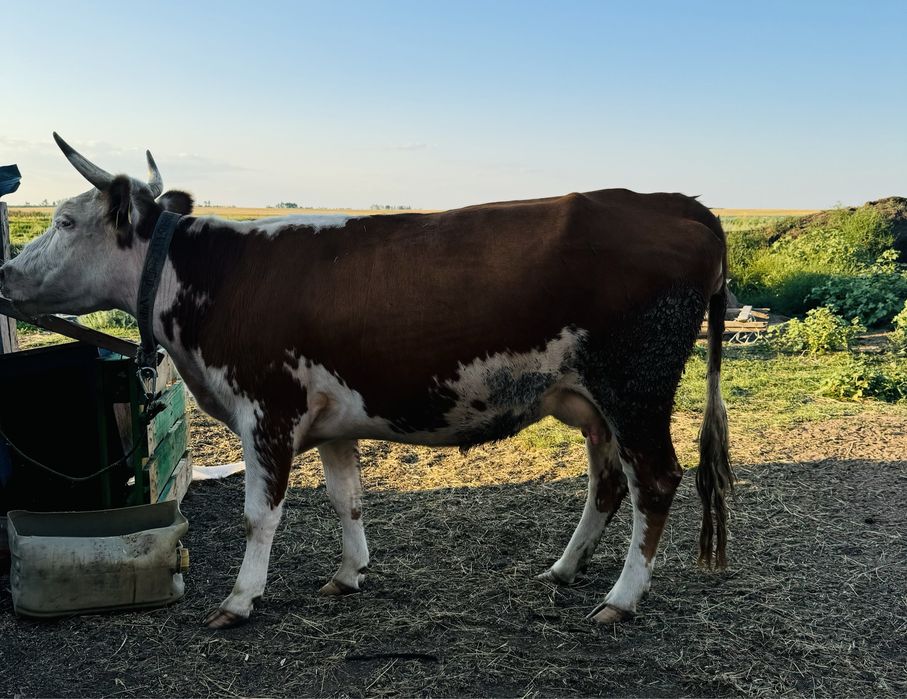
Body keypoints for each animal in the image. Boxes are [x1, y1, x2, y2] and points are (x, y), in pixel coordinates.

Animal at [0, 134, 732, 628]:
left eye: (65, 221)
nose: (4, 273)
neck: (211, 276)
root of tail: (677, 203)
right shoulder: (330, 419)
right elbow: (345, 498)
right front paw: (348, 573)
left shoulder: (266, 408)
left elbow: (259, 513)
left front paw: (240, 598)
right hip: (591, 401)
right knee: (608, 480)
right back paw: (565, 567)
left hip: (636, 387)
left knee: (654, 481)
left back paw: (621, 598)